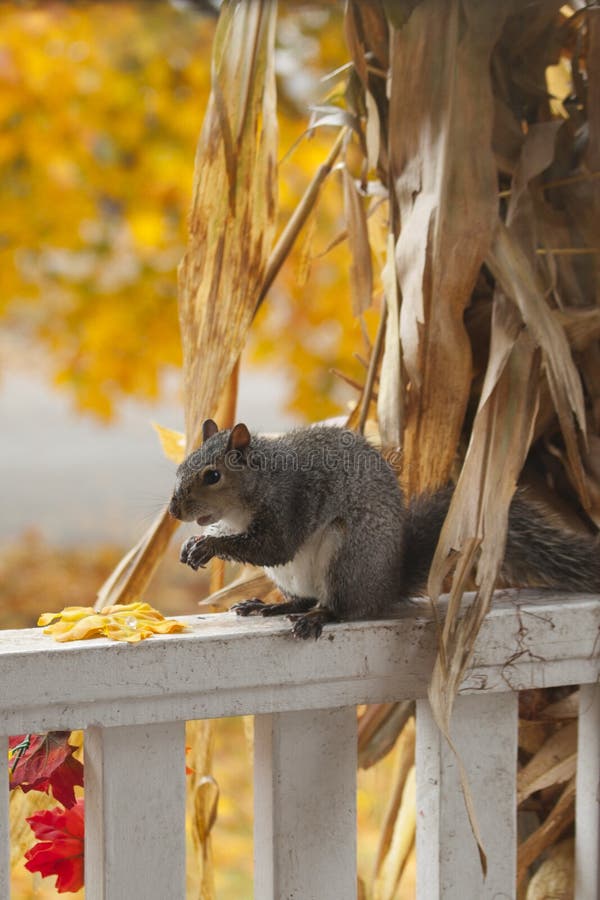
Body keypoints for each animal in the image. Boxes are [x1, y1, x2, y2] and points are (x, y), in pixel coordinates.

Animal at [168, 419, 600, 639]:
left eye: (212, 476)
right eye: (182, 466)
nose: (174, 510)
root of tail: (387, 583)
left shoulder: (289, 504)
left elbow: (274, 546)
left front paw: (206, 546)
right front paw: (194, 544)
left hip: (348, 558)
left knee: (342, 607)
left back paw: (317, 617)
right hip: (294, 577)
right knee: (303, 598)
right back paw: (272, 605)